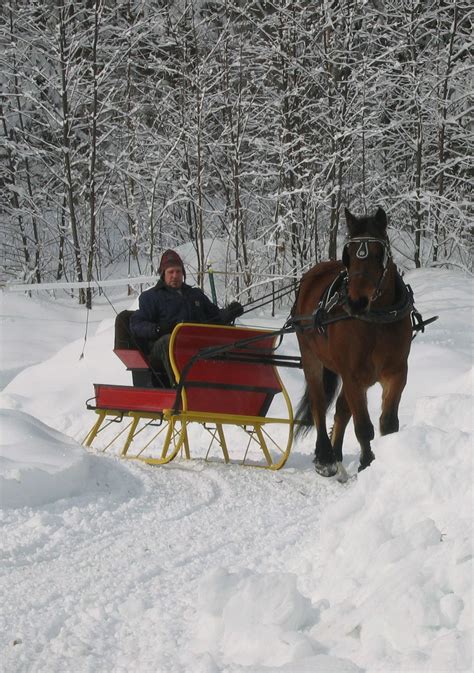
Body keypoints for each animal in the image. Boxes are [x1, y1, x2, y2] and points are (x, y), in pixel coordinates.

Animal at [294, 206, 412, 478]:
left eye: (379, 254)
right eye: (349, 255)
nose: (356, 301)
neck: (376, 320)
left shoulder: (396, 373)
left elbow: (387, 423)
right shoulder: (353, 376)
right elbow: (363, 426)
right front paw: (367, 463)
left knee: (340, 410)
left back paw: (336, 454)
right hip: (311, 358)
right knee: (319, 405)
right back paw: (326, 457)